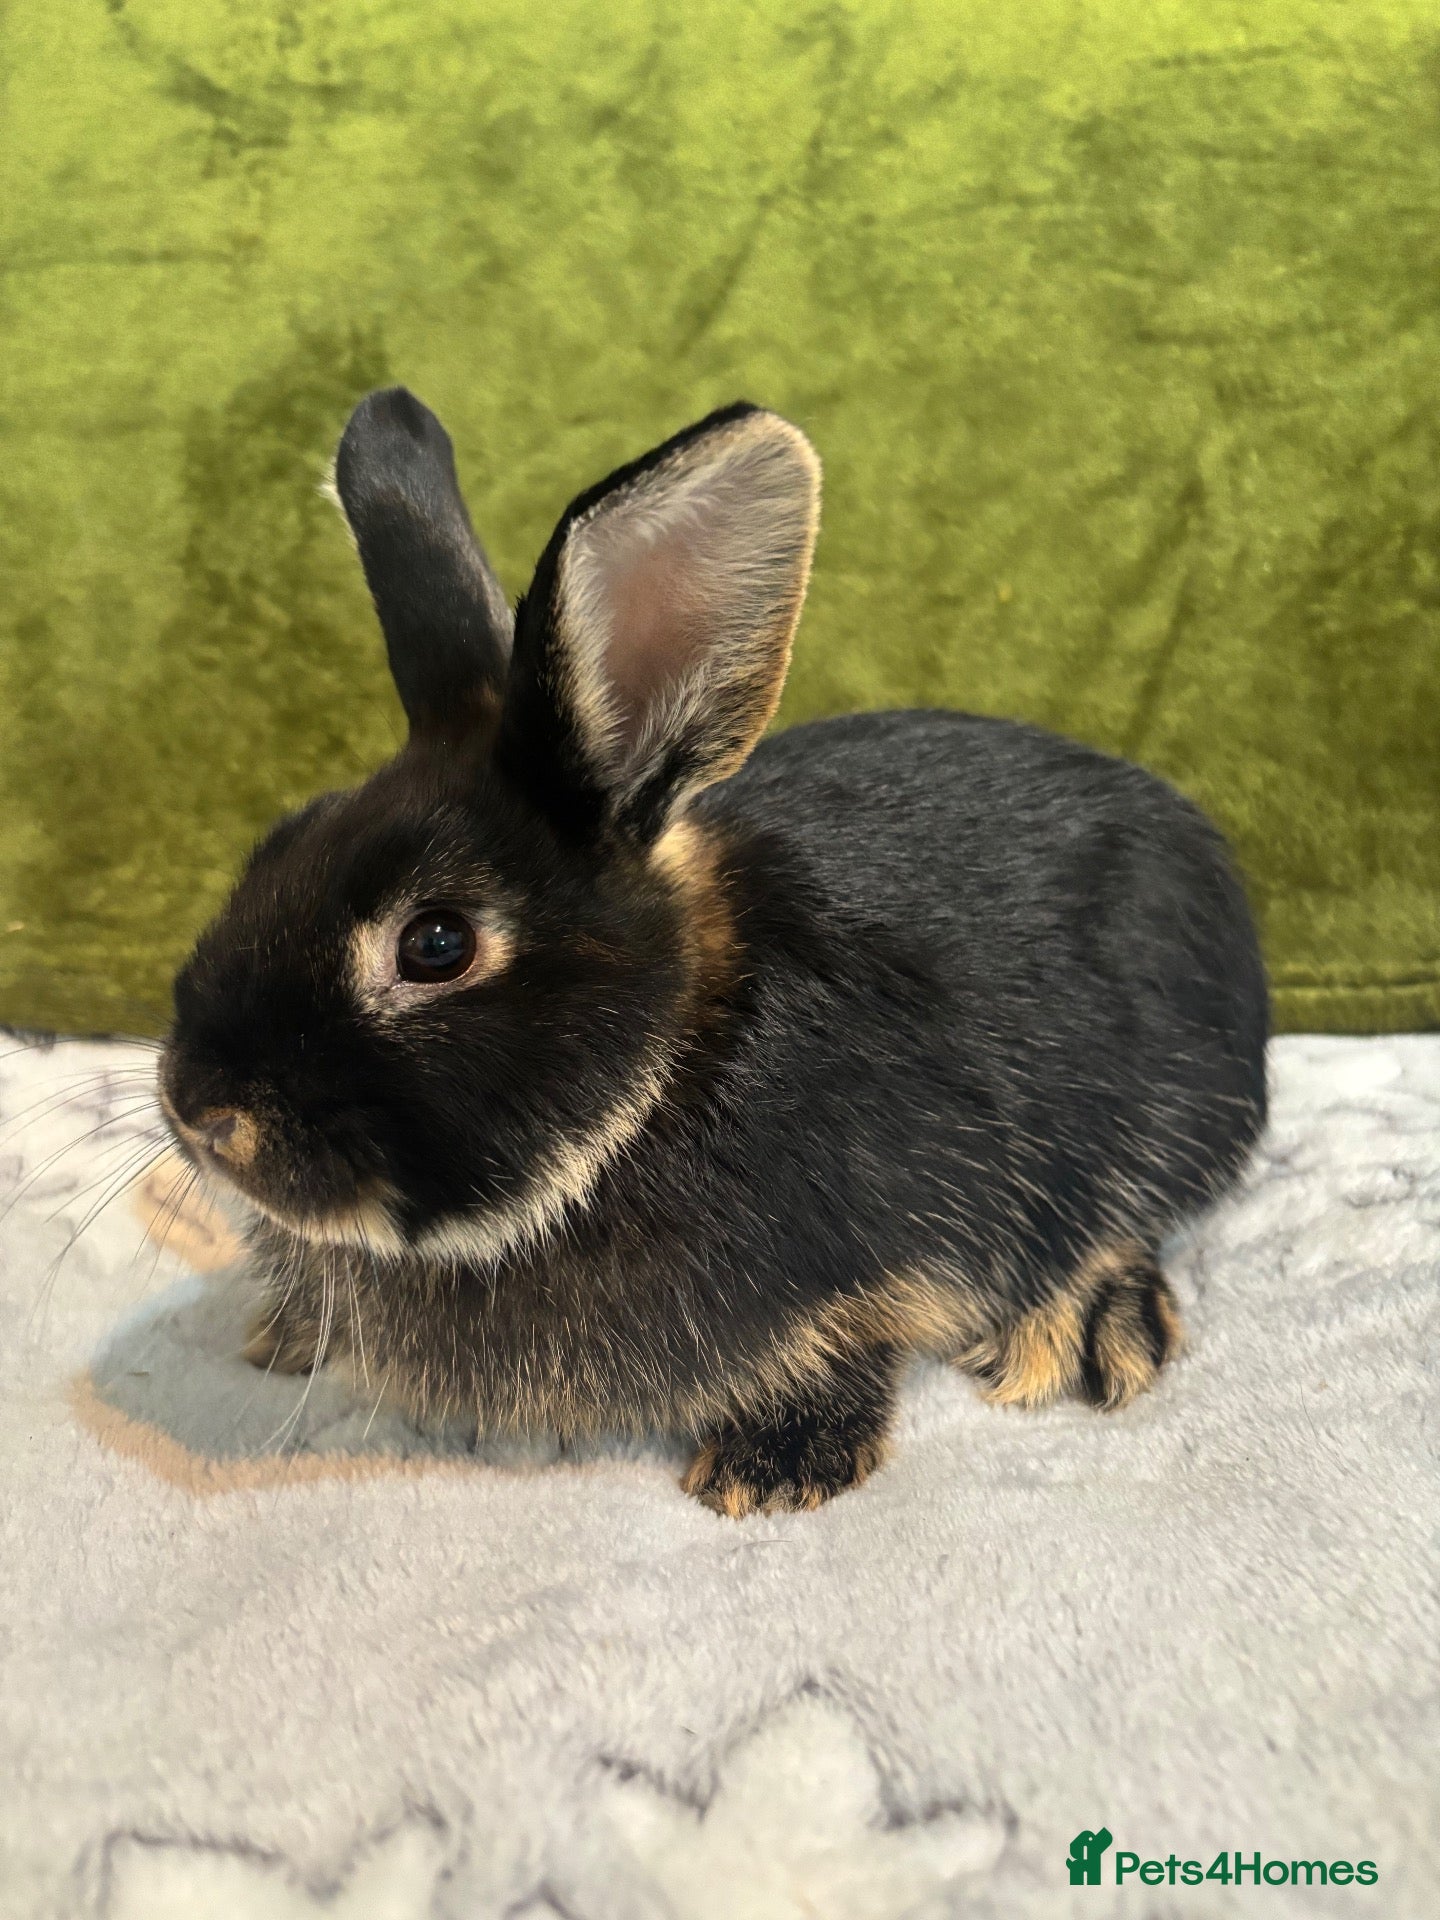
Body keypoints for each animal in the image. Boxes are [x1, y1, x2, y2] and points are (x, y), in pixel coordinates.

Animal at [160, 387, 1268, 1515]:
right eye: (277, 844)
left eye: (435, 944)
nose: (202, 1114)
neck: (662, 1075)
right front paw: (286, 1332)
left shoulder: (887, 1245)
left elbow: (848, 1336)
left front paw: (773, 1468)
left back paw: (1079, 1325)